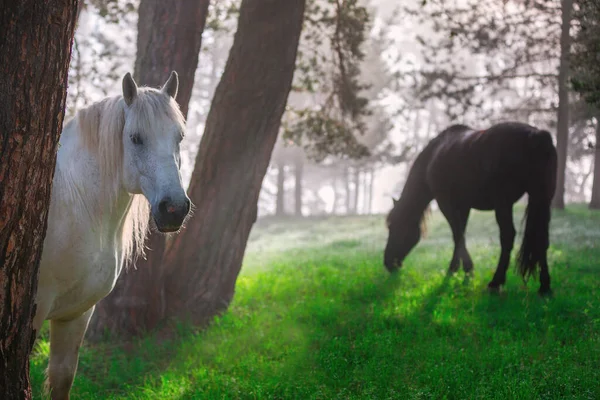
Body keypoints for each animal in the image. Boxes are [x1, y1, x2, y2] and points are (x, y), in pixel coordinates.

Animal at [33, 70, 192, 398]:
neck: (77, 203)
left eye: (179, 137)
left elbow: (62, 377)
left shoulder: (75, 315)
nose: (174, 209)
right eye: (135, 138)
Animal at [384, 122, 556, 296]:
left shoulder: (446, 204)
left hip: (503, 204)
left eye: (393, 227)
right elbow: (460, 235)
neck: (431, 158)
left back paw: (496, 282)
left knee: (508, 236)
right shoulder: (463, 206)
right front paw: (455, 271)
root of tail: (537, 135)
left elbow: (458, 236)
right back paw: (545, 287)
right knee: (542, 239)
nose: (388, 263)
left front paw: (465, 271)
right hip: (542, 200)